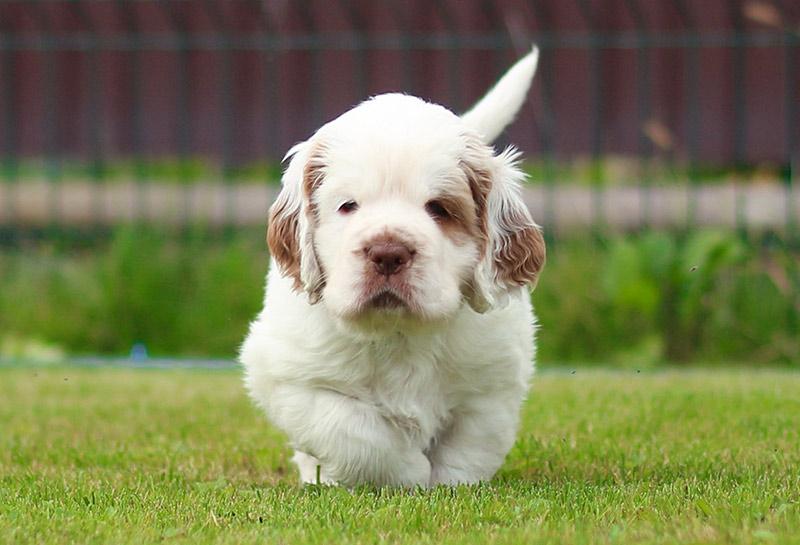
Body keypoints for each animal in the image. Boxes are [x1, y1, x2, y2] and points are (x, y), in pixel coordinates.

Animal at [241, 46, 548, 486]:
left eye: (439, 209)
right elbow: (356, 433)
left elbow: (470, 448)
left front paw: (447, 484)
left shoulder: (492, 385)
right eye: (348, 205)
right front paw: (408, 472)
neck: (400, 333)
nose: (388, 252)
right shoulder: (290, 378)